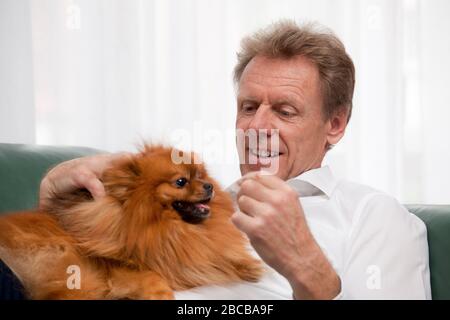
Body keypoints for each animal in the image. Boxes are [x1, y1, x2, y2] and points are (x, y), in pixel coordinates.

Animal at [0, 145, 262, 300]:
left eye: (200, 176)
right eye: (181, 182)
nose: (209, 186)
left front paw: (247, 265)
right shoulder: (124, 271)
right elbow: (153, 278)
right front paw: (162, 294)